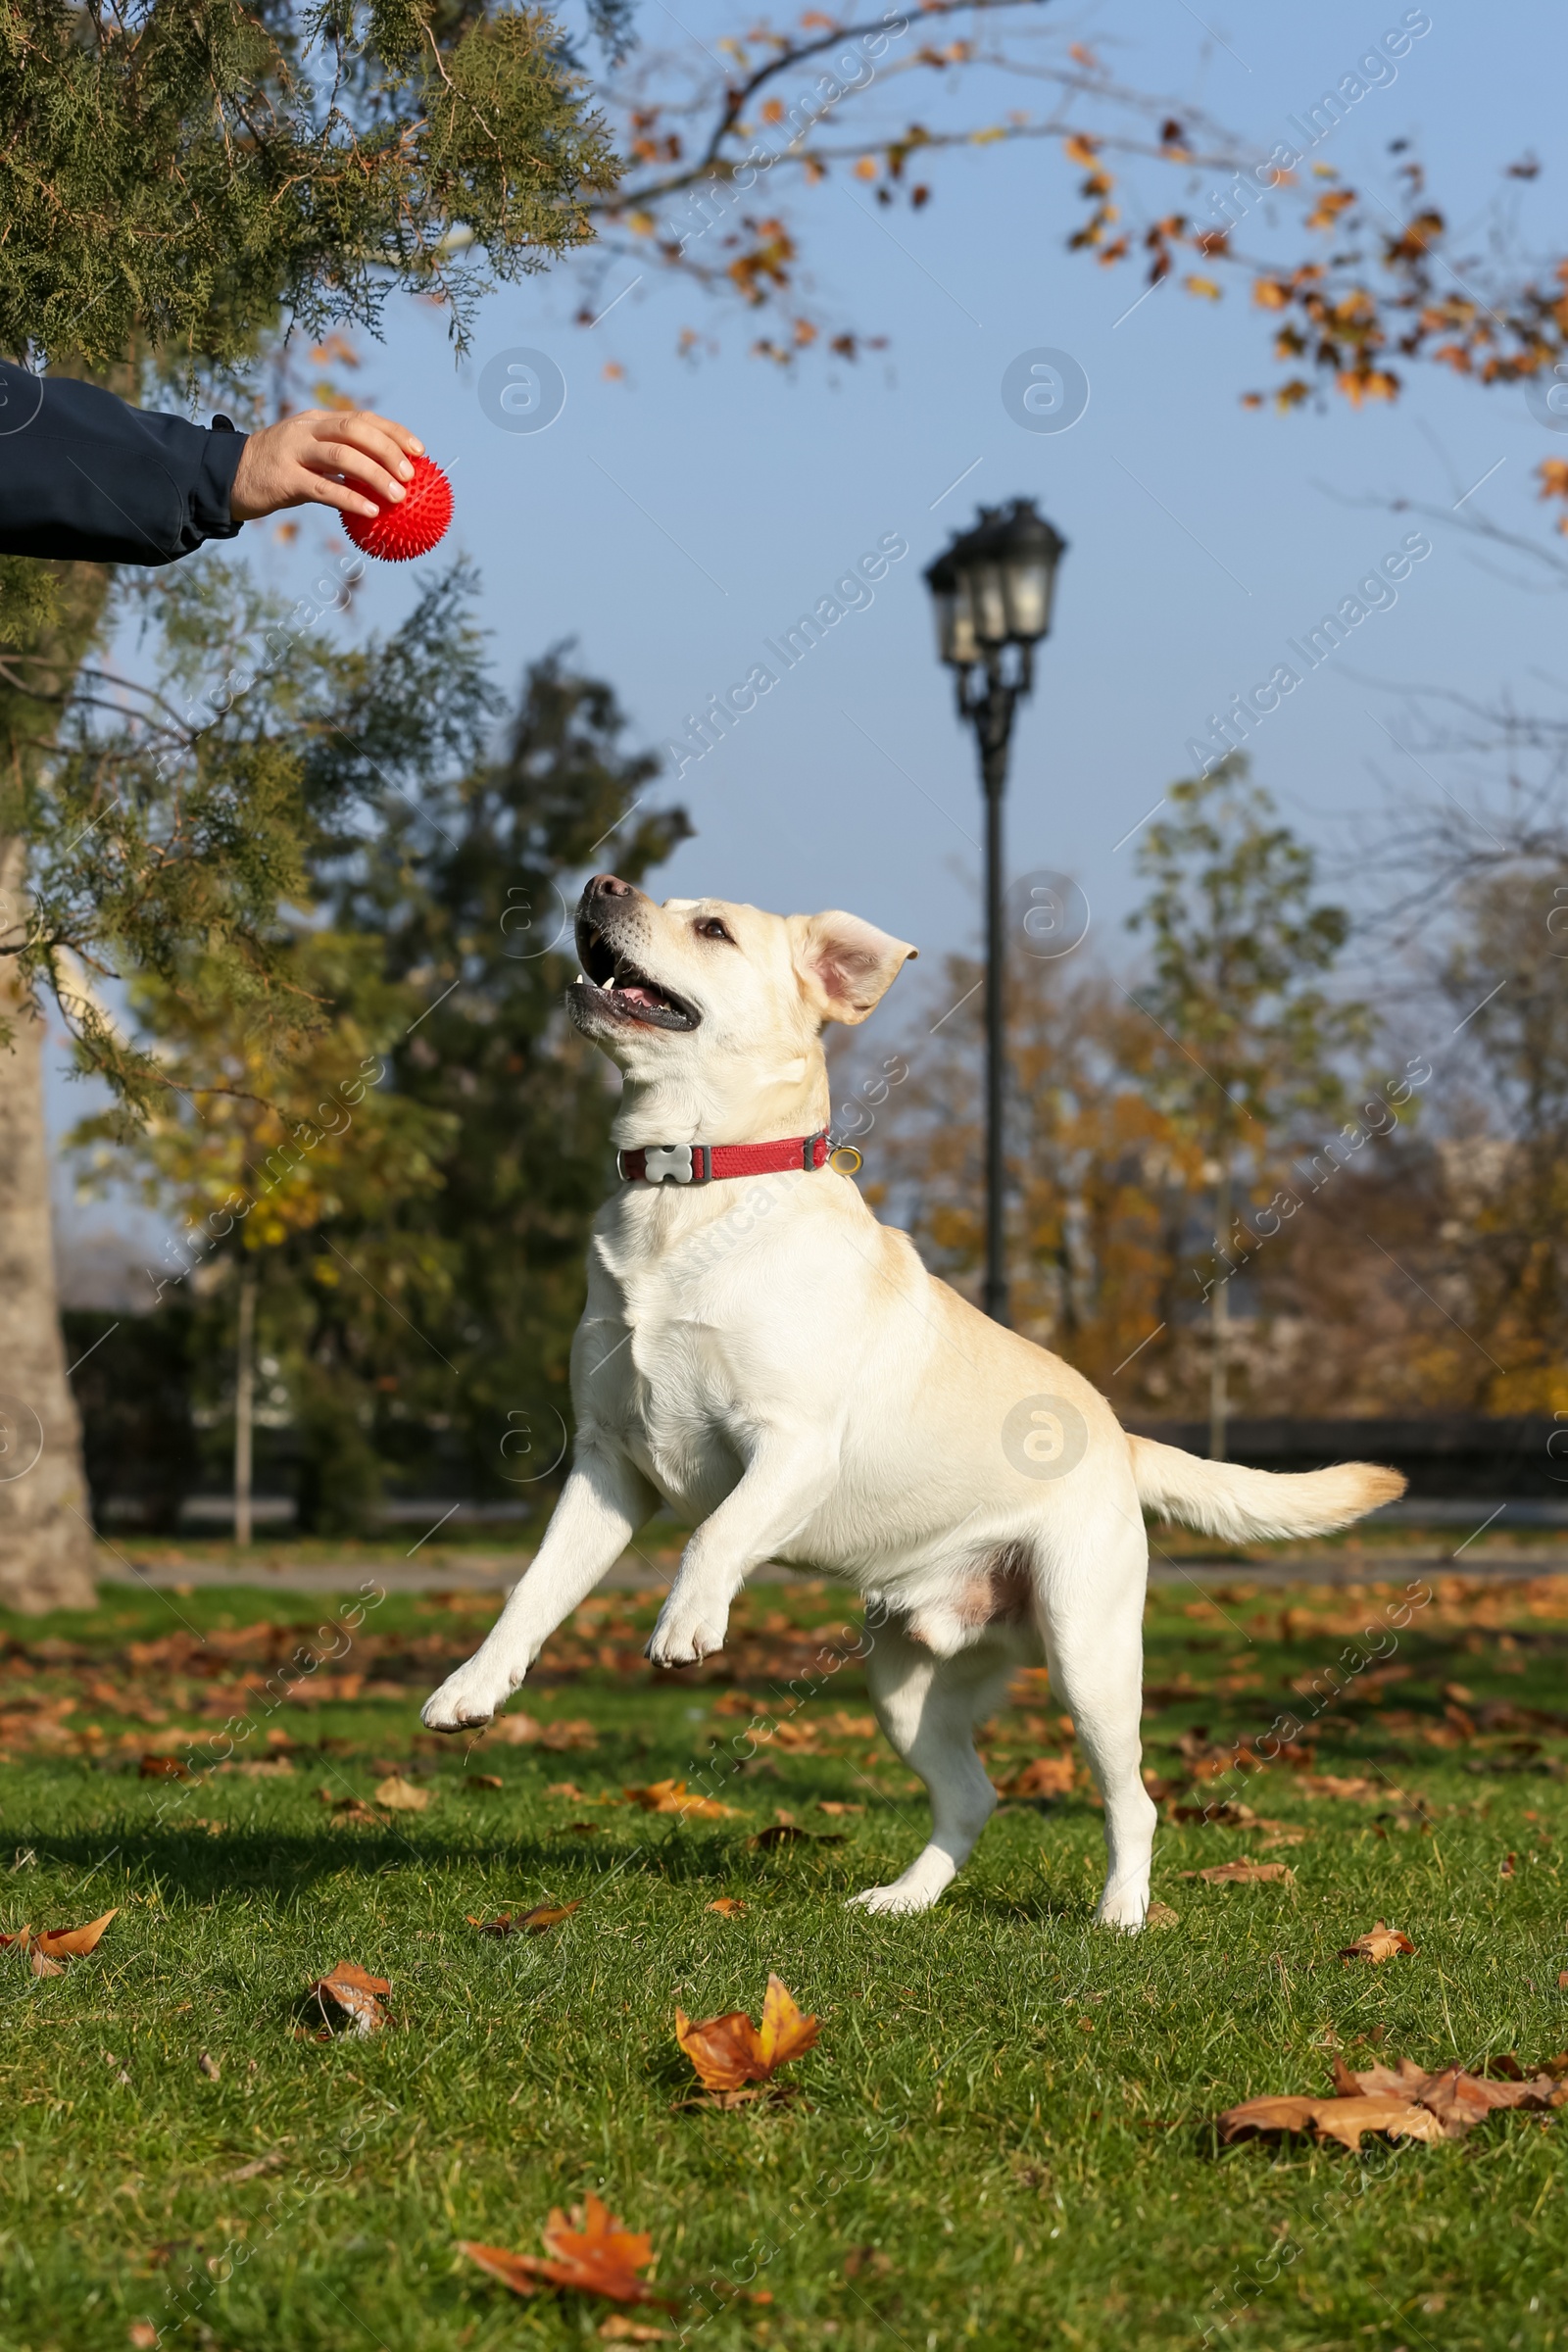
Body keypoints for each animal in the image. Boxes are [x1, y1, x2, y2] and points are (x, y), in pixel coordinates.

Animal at [422, 874, 1400, 1919]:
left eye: (712, 927)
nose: (601, 884)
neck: (685, 1196)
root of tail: (1119, 1436)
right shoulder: (609, 1466)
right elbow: (533, 1589)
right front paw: (473, 1687)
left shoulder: (791, 1446)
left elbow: (713, 1534)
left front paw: (686, 1620)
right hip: (905, 1688)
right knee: (973, 1796)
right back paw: (905, 1900)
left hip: (1087, 1657)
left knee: (1131, 1801)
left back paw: (1120, 1915)